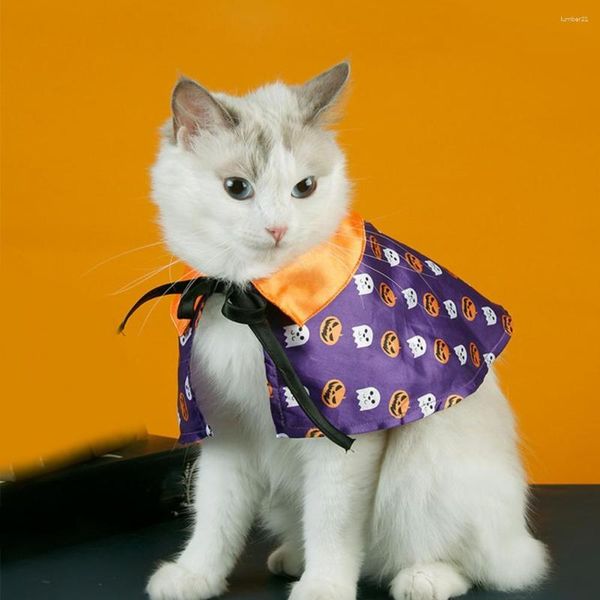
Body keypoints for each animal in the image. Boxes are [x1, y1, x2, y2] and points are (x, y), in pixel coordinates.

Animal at [145, 61, 548, 600]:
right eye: (237, 188)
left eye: (304, 188)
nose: (277, 229)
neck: (255, 301)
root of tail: (518, 539)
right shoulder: (227, 432)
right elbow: (214, 519)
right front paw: (194, 575)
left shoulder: (342, 440)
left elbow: (332, 525)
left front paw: (324, 586)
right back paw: (291, 558)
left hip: (427, 467)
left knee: (469, 564)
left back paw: (421, 578)